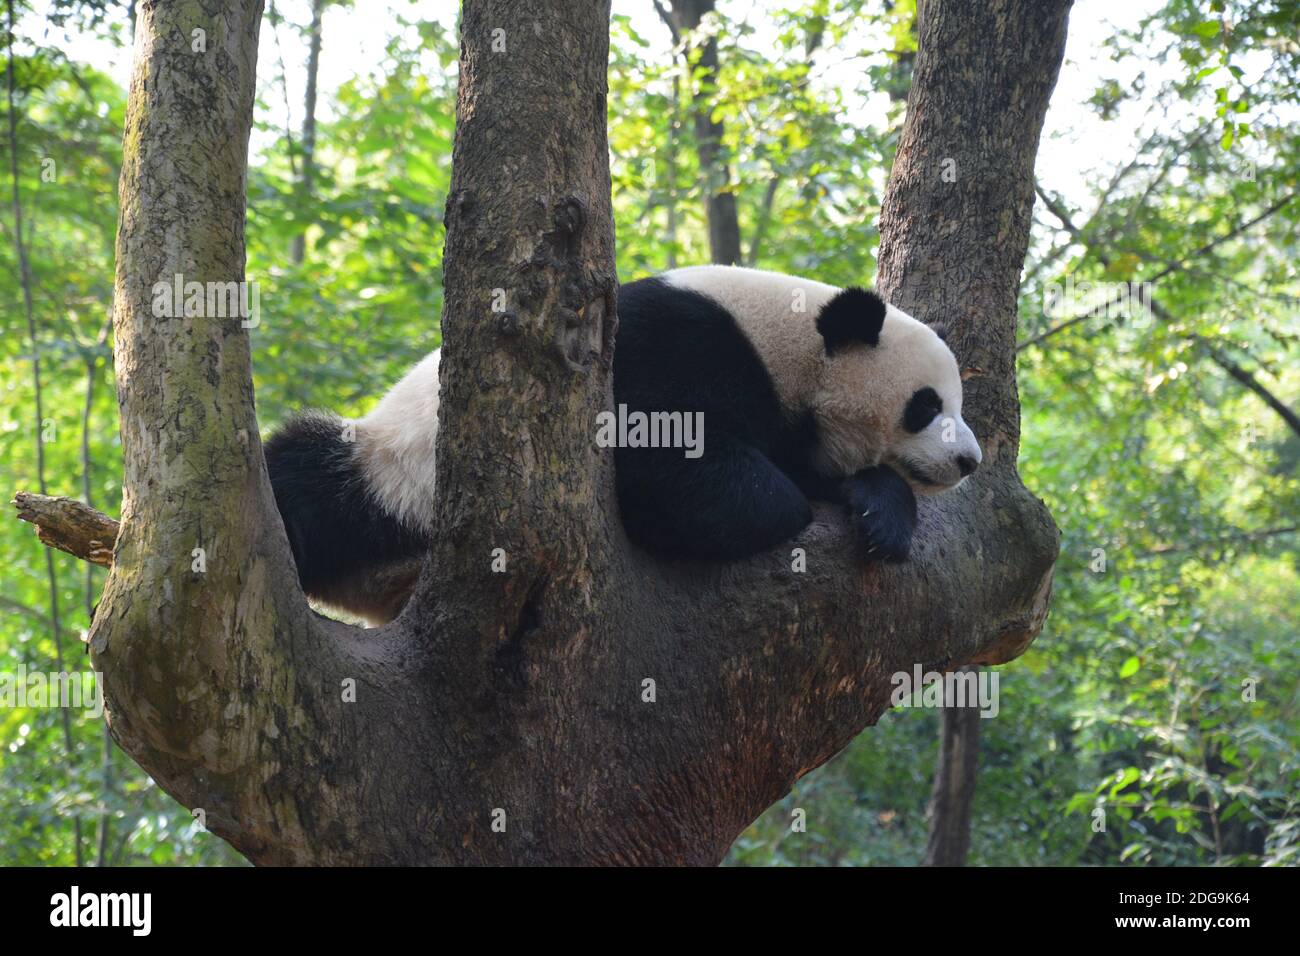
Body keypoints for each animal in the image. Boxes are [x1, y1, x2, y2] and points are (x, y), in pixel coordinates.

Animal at [265, 266, 981, 623]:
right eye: (926, 405)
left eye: (957, 404)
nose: (969, 460)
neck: (791, 345)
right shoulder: (671, 346)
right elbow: (674, 470)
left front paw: (880, 511)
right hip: (388, 468)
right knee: (304, 478)